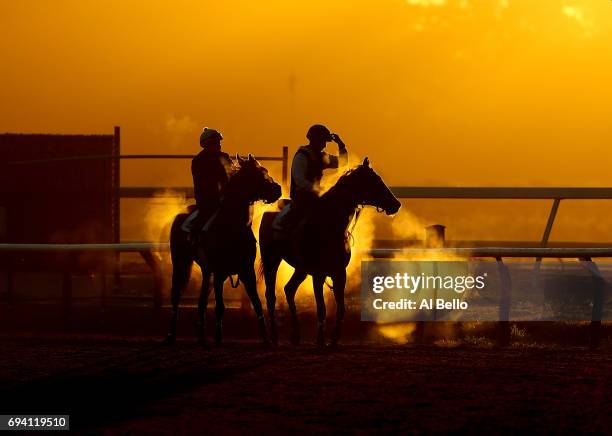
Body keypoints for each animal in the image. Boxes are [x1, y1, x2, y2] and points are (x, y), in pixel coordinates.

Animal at [167, 154, 282, 348]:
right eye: (258, 173)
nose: (278, 189)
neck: (232, 225)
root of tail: (180, 215)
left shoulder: (246, 271)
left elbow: (257, 303)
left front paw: (266, 339)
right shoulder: (220, 273)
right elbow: (220, 307)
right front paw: (219, 338)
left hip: (207, 271)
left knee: (201, 301)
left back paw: (201, 338)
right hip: (181, 262)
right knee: (176, 294)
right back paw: (171, 335)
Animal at [260, 158, 400, 348]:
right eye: (375, 180)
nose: (396, 204)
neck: (329, 225)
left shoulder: (339, 273)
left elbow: (341, 308)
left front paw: (334, 339)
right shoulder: (318, 275)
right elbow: (321, 308)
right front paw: (320, 339)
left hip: (301, 269)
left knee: (289, 289)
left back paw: (296, 335)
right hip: (271, 260)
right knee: (271, 295)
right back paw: (274, 336)